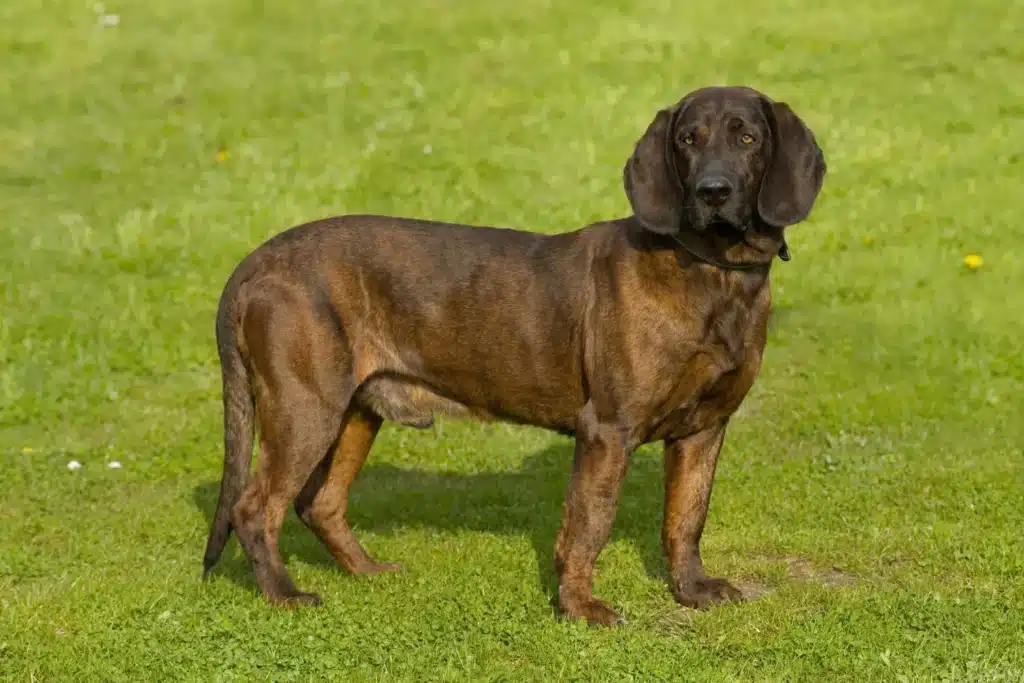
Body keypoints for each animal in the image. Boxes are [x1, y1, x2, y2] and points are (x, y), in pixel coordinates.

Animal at [203, 87, 827, 630]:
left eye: (747, 137)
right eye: (687, 141)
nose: (713, 191)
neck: (713, 270)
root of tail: (255, 263)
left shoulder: (704, 430)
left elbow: (686, 518)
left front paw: (692, 591)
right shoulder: (607, 431)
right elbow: (588, 525)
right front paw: (579, 608)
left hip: (357, 411)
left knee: (321, 503)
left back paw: (367, 570)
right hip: (304, 408)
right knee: (255, 507)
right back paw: (284, 595)